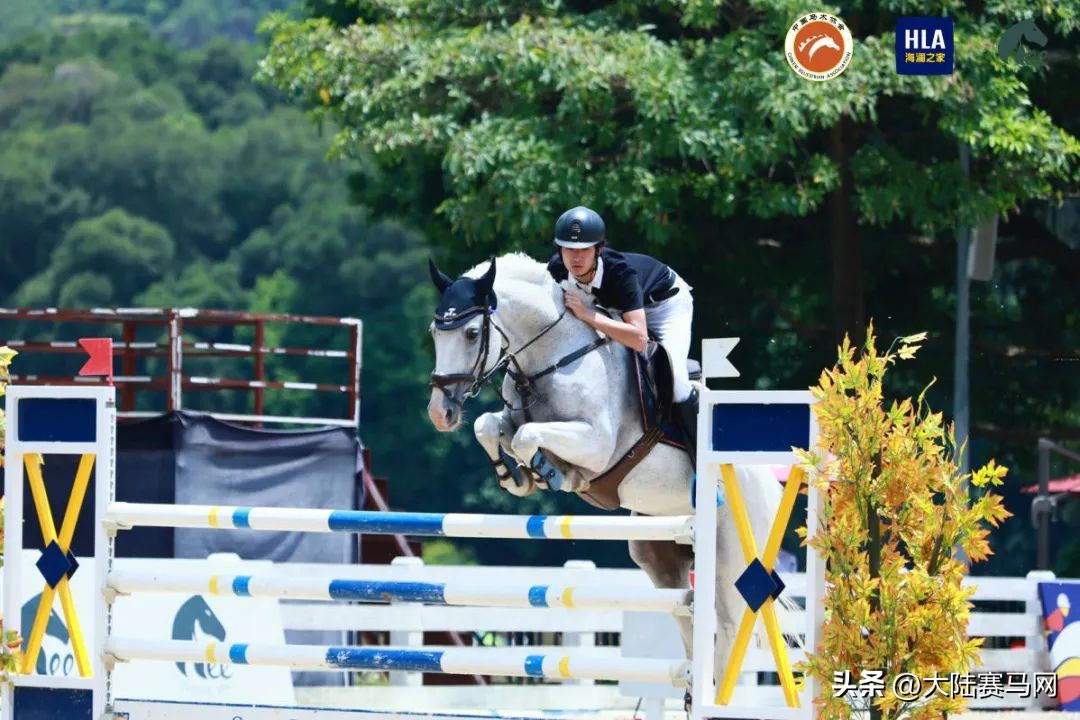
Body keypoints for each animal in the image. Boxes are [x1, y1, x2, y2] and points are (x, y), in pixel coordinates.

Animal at [424, 252, 789, 698]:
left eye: (472, 333)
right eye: (435, 332)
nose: (440, 413)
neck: (553, 357)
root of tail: (768, 481)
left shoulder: (596, 445)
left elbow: (529, 437)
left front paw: (549, 472)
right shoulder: (515, 417)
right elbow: (490, 426)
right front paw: (516, 477)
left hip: (733, 557)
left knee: (729, 626)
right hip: (658, 553)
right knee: (685, 612)